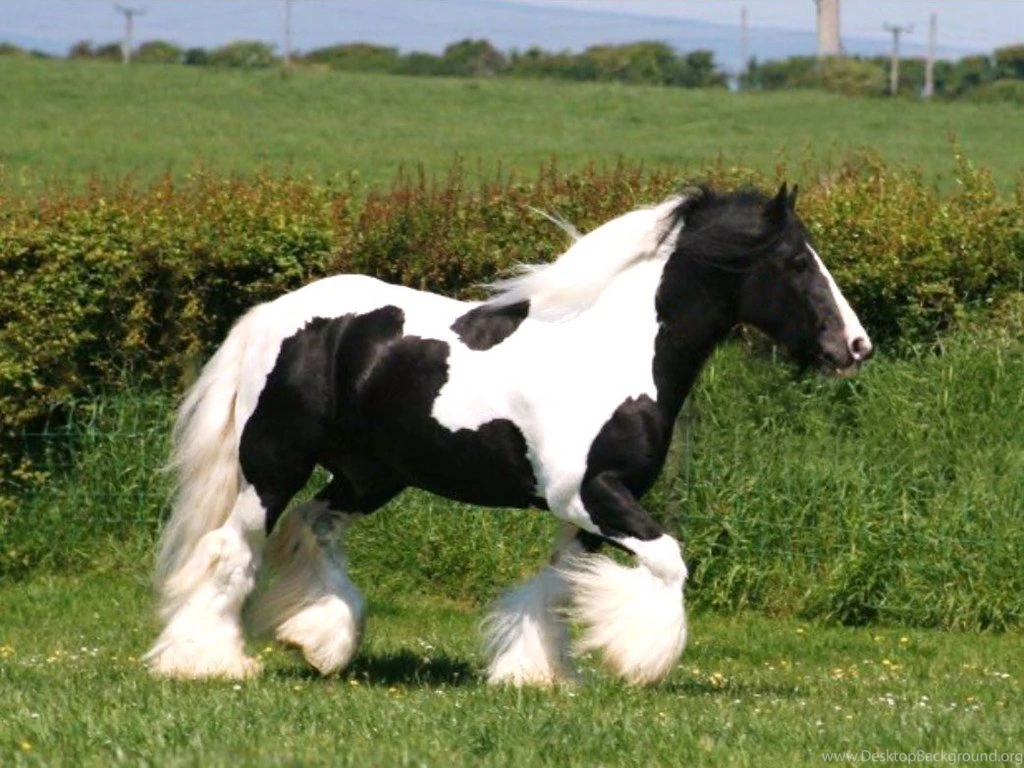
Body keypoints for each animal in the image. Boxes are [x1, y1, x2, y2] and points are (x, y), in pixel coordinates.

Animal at [143, 183, 872, 686]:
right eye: (796, 263)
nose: (856, 346)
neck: (615, 352)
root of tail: (276, 313)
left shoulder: (590, 509)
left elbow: (558, 587)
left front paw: (535, 674)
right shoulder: (593, 495)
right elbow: (669, 561)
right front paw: (639, 658)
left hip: (369, 476)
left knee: (313, 527)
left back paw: (322, 642)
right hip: (274, 463)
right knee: (232, 550)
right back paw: (208, 660)